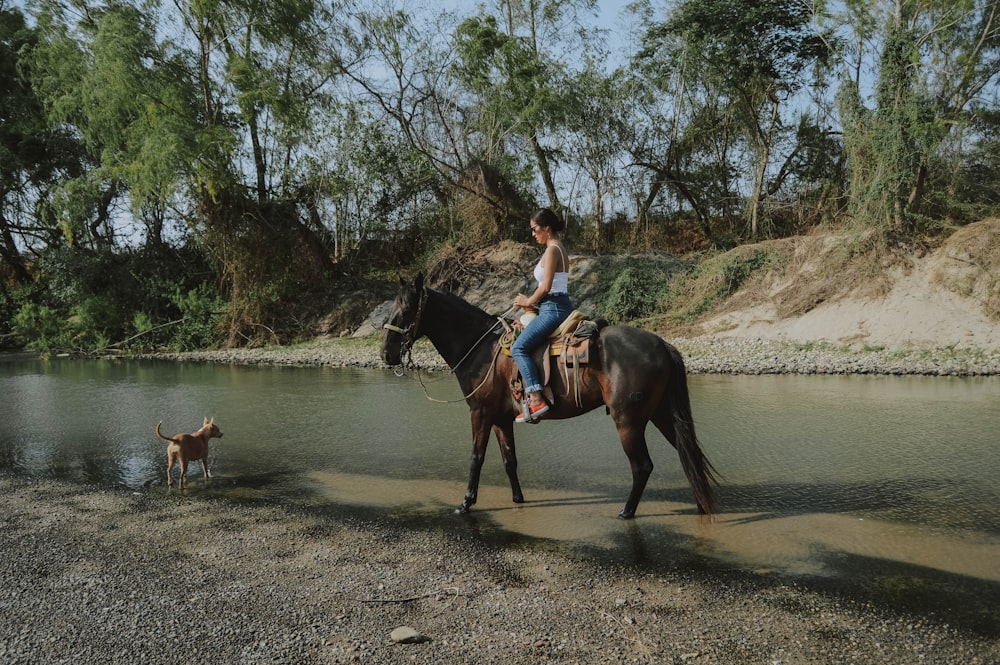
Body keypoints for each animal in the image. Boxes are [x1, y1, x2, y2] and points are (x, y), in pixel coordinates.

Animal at [382, 272, 720, 516]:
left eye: (406, 310)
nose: (387, 354)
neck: (481, 350)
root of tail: (661, 343)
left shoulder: (480, 412)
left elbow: (476, 457)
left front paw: (466, 503)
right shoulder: (501, 418)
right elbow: (509, 460)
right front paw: (517, 498)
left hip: (629, 421)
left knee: (642, 466)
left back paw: (627, 512)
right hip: (661, 414)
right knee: (688, 453)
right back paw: (701, 505)